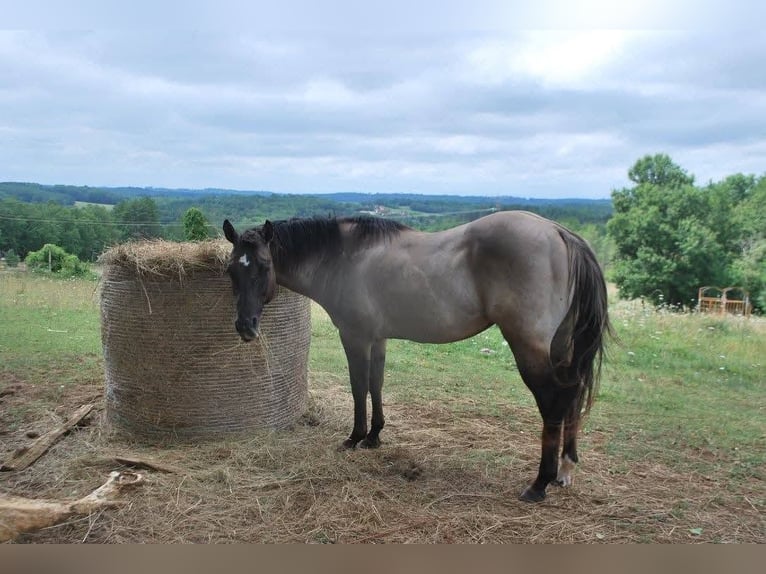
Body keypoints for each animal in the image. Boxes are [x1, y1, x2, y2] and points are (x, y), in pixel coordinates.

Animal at [222, 211, 610, 502]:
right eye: (231, 270)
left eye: (263, 267)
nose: (245, 327)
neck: (344, 258)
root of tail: (560, 232)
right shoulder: (377, 339)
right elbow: (376, 385)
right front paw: (375, 436)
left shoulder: (355, 337)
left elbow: (358, 387)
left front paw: (355, 437)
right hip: (562, 347)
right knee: (573, 394)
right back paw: (565, 469)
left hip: (530, 348)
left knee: (554, 401)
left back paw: (540, 483)